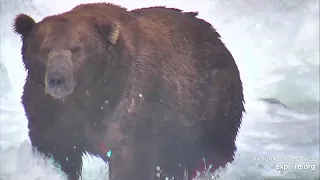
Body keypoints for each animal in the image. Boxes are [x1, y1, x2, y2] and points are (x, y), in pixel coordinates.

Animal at [12, 2, 244, 180]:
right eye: (45, 49)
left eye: (76, 48)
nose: (57, 79)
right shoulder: (48, 108)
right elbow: (55, 148)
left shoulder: (132, 103)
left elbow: (130, 157)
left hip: (210, 110)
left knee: (207, 155)